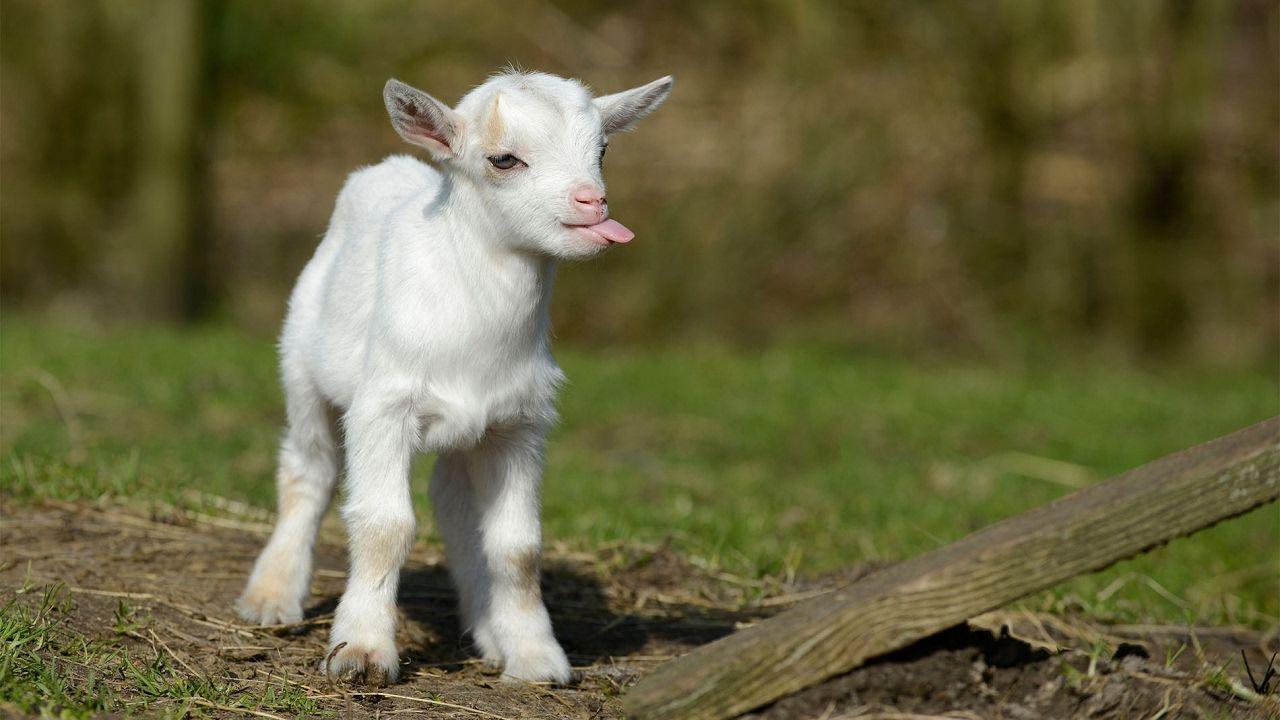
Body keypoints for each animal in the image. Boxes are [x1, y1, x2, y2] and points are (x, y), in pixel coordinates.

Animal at [238, 70, 670, 681]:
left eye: (603, 149)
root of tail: (391, 165)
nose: (593, 202)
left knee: (453, 500)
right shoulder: (383, 407)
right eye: (504, 159)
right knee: (308, 469)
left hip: (470, 432)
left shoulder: (520, 424)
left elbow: (518, 545)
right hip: (301, 369)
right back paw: (272, 595)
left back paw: (487, 629)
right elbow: (384, 525)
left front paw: (535, 656)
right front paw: (362, 650)